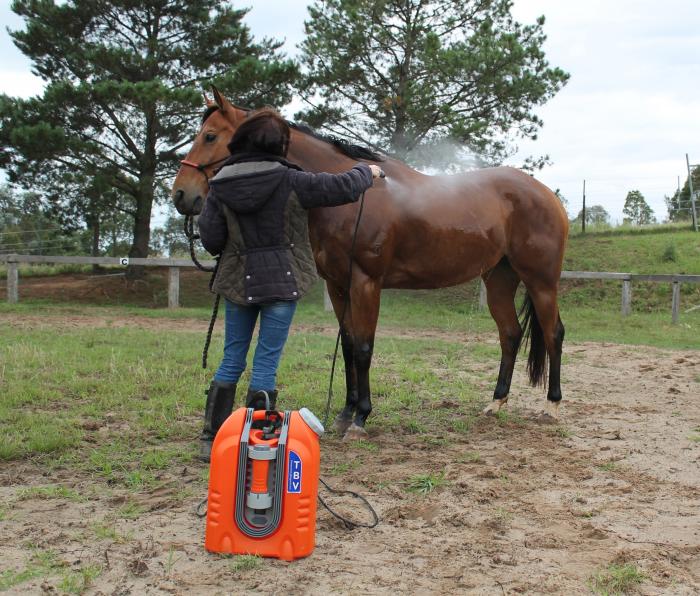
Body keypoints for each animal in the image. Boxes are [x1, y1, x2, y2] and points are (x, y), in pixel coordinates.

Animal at [172, 88, 569, 441]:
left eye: (210, 136)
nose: (181, 195)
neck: (349, 198)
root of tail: (547, 195)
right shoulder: (339, 285)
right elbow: (349, 345)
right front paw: (345, 413)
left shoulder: (366, 282)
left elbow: (364, 347)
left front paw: (361, 417)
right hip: (499, 279)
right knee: (510, 335)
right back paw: (496, 402)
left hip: (541, 281)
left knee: (553, 334)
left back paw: (552, 407)